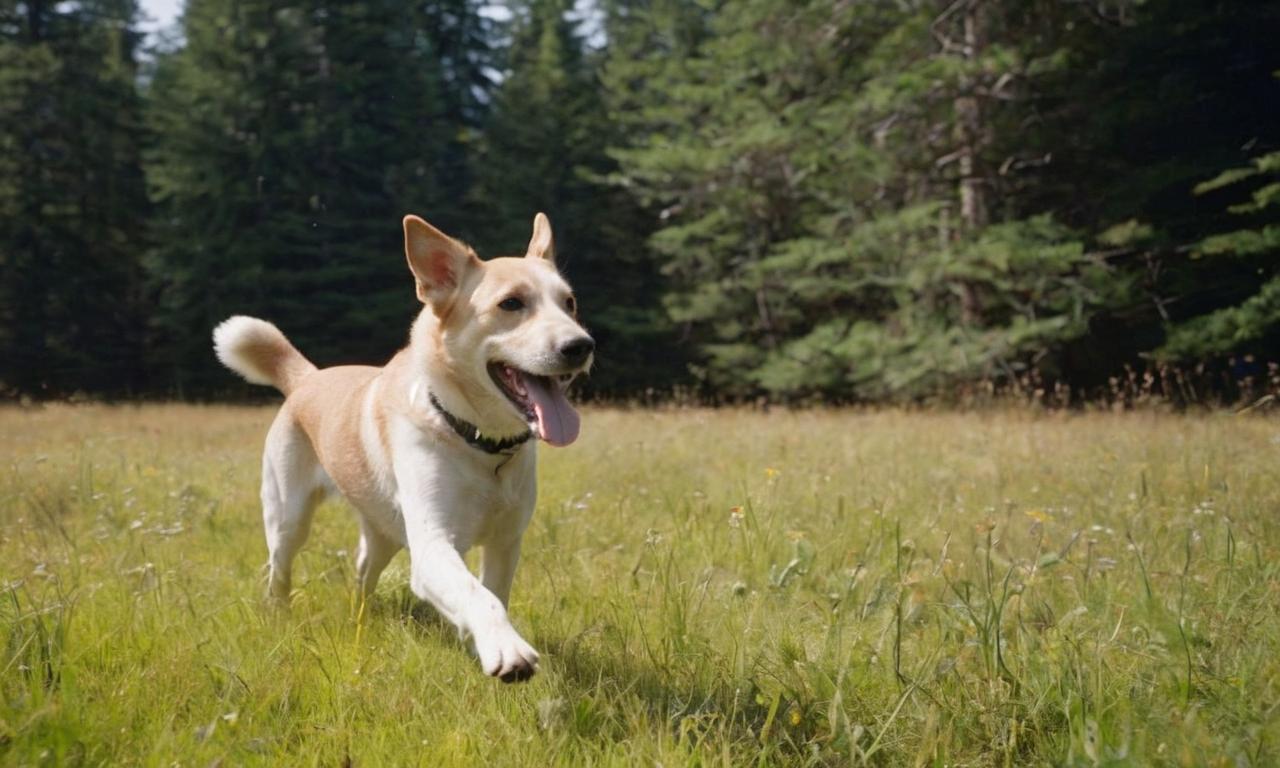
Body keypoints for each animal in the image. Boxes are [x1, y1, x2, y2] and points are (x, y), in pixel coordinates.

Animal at [212, 212, 591, 680]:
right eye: (511, 304)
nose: (581, 346)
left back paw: (360, 619)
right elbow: (478, 596)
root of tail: (308, 378)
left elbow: (494, 595)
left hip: (385, 531)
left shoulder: (506, 541)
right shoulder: (432, 546)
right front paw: (507, 651)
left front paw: (483, 644)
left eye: (569, 303)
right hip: (288, 517)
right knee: (278, 572)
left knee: (361, 571)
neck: (481, 445)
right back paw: (279, 618)